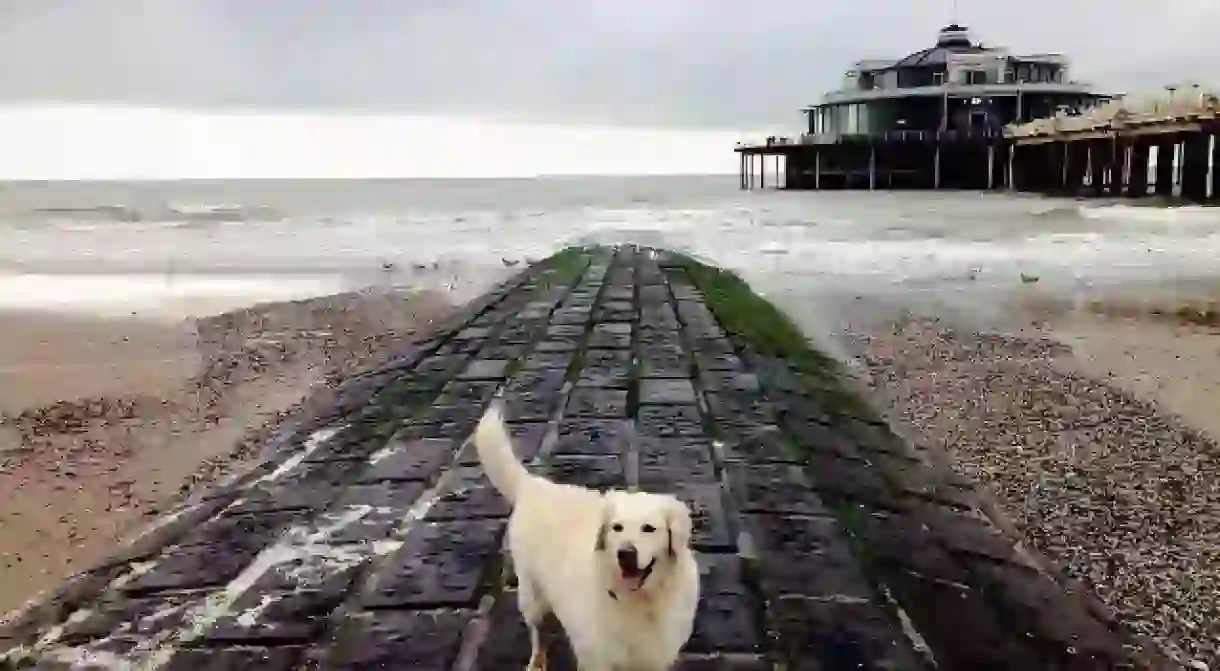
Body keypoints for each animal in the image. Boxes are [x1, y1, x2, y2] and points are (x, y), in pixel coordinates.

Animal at [470, 400, 702, 671]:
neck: (641, 602)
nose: (625, 554)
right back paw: (537, 661)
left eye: (649, 528)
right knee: (538, 632)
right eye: (617, 527)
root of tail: (533, 484)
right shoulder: (597, 657)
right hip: (533, 596)